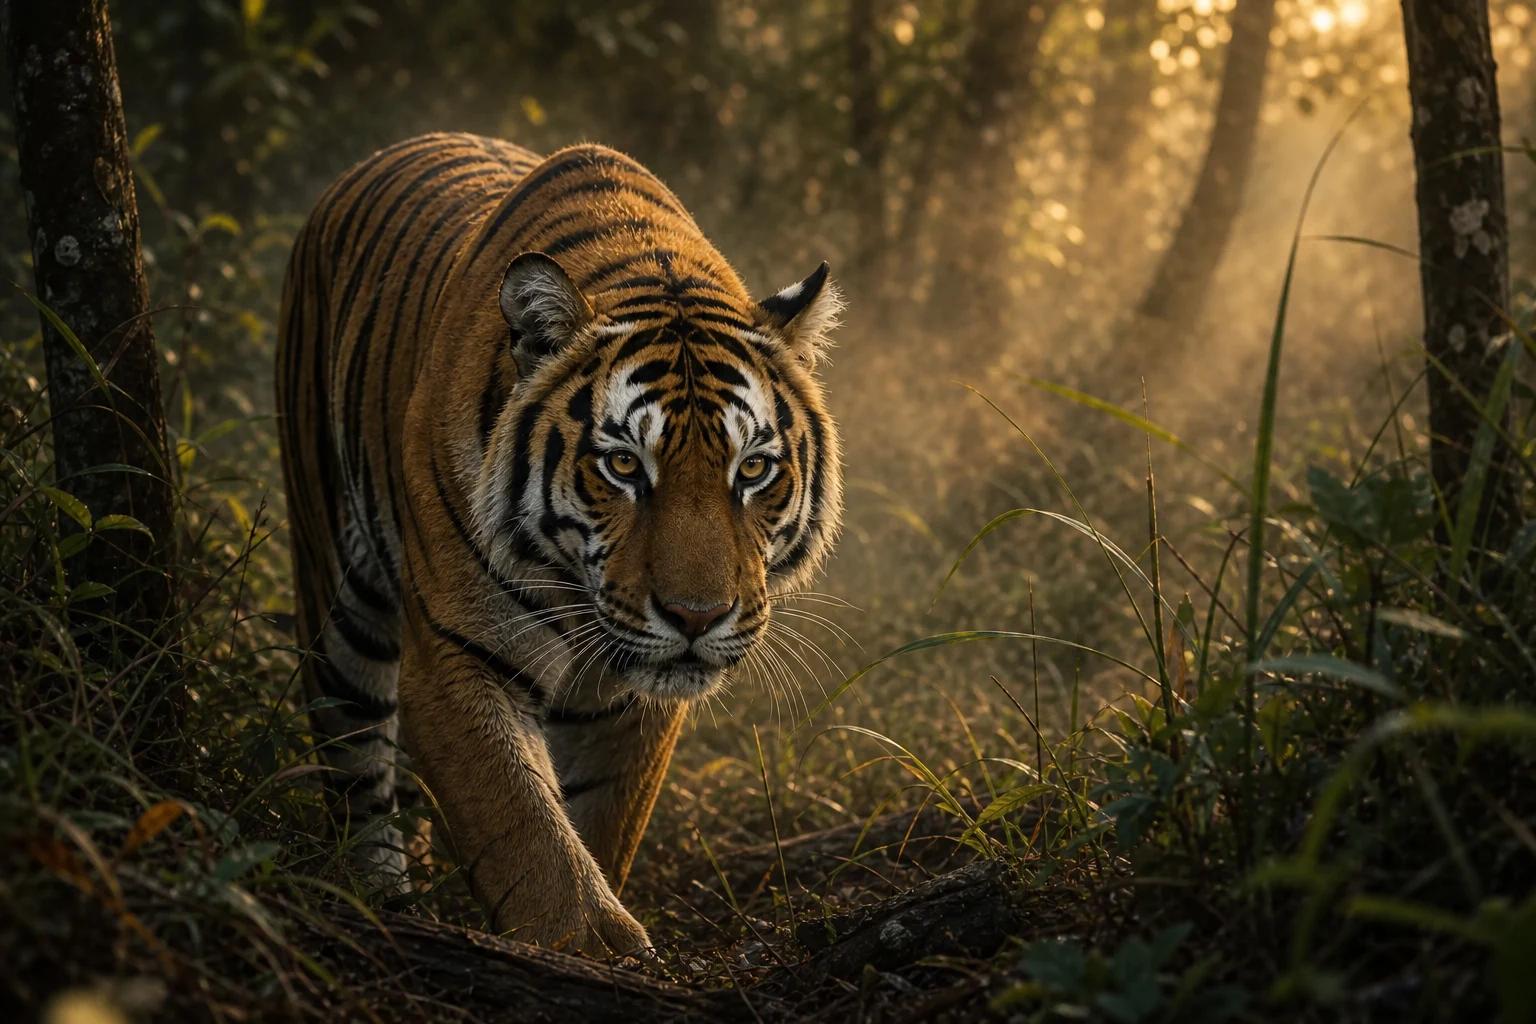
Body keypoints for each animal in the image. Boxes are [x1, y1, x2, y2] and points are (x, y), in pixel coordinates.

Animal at [275, 132, 843, 955]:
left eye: (753, 469)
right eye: (624, 466)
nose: (697, 618)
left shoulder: (631, 705)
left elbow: (599, 821)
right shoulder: (455, 657)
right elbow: (523, 826)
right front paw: (589, 945)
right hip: (337, 594)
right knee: (355, 768)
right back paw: (379, 899)